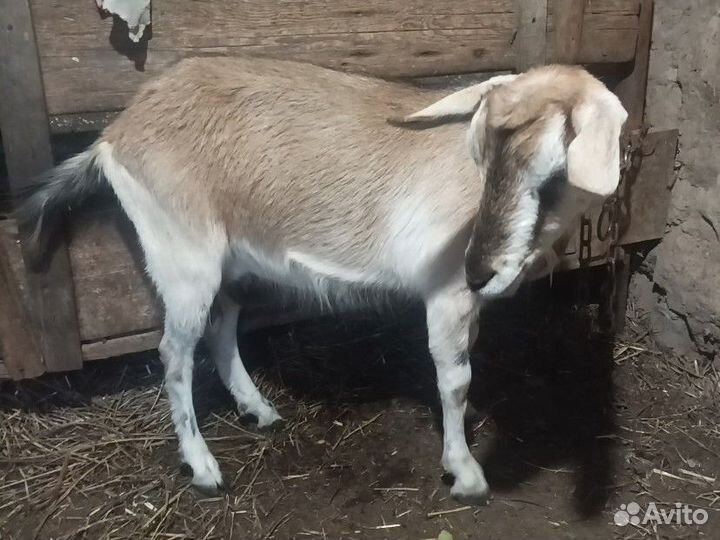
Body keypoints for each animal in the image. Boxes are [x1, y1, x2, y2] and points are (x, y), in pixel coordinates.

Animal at [18, 57, 627, 504]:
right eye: (478, 157)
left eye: (551, 178)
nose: (480, 269)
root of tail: (114, 134)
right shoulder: (447, 294)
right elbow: (454, 377)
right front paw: (466, 473)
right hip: (183, 257)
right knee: (173, 352)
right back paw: (204, 466)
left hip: (231, 262)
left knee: (222, 327)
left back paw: (259, 411)